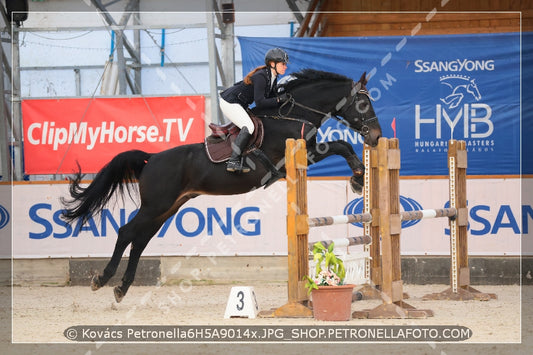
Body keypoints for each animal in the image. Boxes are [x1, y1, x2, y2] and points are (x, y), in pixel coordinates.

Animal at [60, 69, 380, 304]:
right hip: (156, 205)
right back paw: (103, 280)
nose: (376, 136)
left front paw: (358, 177)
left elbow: (342, 145)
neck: (292, 113)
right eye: (363, 103)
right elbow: (340, 144)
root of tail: (151, 159)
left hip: (167, 208)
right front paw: (357, 178)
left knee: (140, 240)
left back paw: (122, 288)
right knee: (127, 232)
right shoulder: (302, 154)